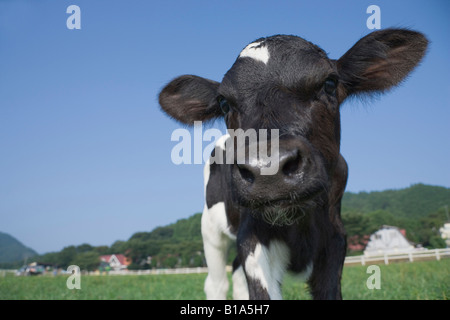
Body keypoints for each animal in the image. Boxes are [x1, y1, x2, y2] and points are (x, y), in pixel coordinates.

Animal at [159, 28, 428, 298]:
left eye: (329, 83)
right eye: (224, 103)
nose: (267, 167)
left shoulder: (335, 237)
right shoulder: (252, 236)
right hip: (210, 229)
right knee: (216, 283)